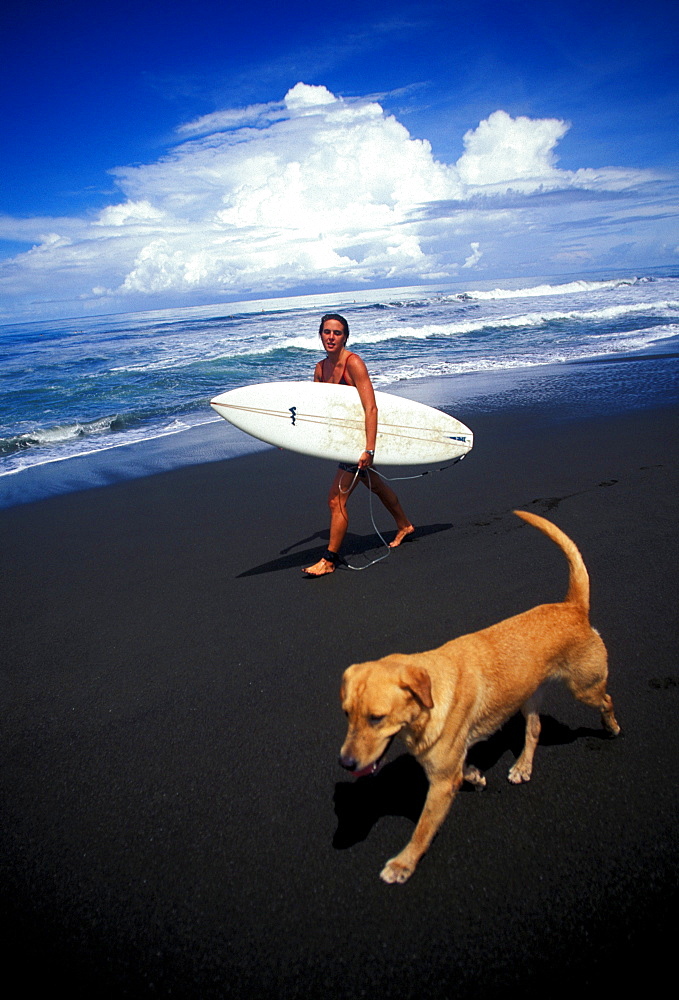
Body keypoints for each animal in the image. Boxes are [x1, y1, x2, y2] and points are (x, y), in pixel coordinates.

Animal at [340, 516, 620, 884]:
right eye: (347, 714)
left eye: (376, 717)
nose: (345, 763)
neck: (429, 698)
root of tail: (572, 606)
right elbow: (466, 770)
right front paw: (474, 775)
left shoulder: (441, 784)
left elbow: (422, 829)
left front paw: (403, 863)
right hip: (528, 696)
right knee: (534, 730)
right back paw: (523, 766)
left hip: (584, 687)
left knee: (606, 700)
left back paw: (611, 726)